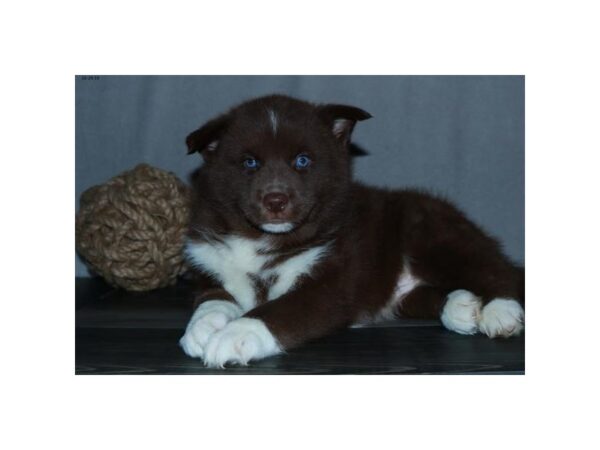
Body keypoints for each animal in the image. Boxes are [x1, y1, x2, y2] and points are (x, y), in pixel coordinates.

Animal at [179, 93, 524, 368]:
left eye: (302, 161)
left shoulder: (333, 279)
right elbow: (212, 298)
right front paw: (201, 328)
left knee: (493, 268)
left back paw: (501, 310)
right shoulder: (210, 265)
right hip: (403, 291)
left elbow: (280, 309)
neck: (261, 237)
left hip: (434, 236)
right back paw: (461, 307)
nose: (276, 200)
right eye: (250, 163)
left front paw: (236, 335)